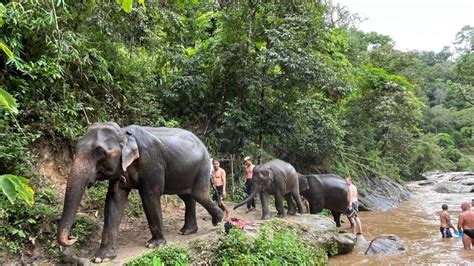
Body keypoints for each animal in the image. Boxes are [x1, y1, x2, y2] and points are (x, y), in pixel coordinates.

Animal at [56, 122, 223, 262]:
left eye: (99, 152)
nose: (72, 237)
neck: (124, 133)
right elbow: (114, 200)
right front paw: (101, 258)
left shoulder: (151, 161)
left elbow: (149, 196)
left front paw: (154, 245)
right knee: (188, 197)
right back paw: (187, 231)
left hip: (203, 165)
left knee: (199, 195)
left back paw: (219, 221)